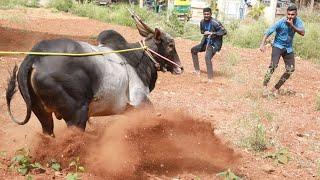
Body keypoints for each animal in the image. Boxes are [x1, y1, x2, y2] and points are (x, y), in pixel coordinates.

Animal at [5, 25, 182, 136]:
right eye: (171, 45)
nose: (180, 67)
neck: (138, 58)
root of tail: (35, 57)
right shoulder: (140, 100)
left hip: (41, 111)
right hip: (77, 114)